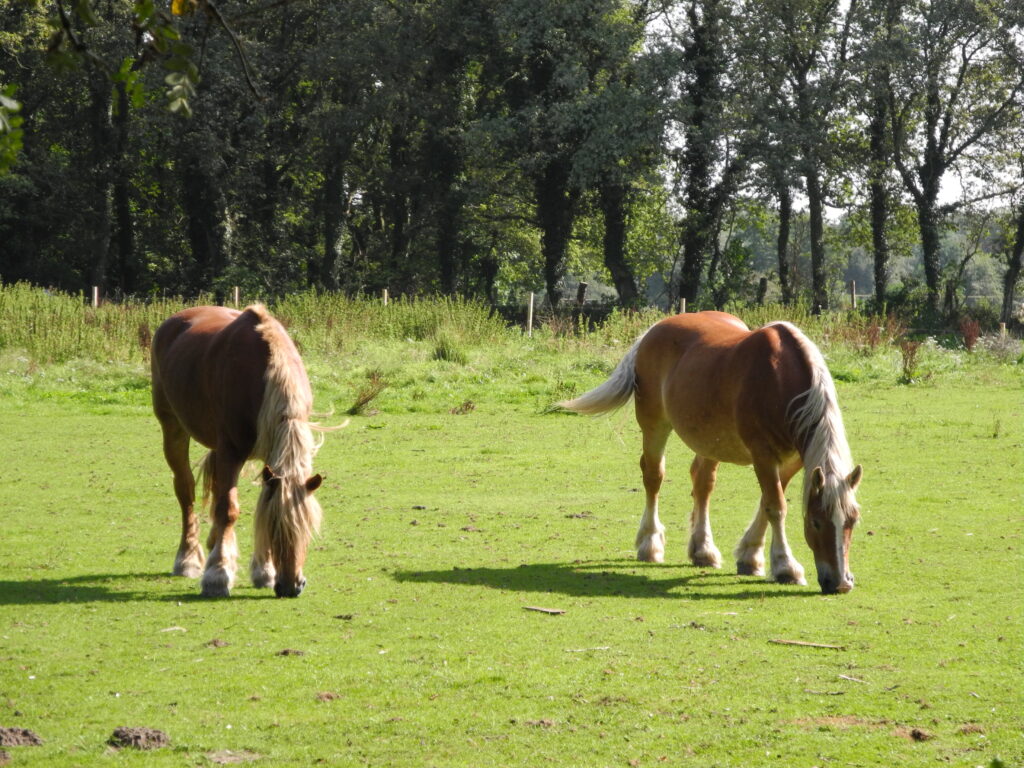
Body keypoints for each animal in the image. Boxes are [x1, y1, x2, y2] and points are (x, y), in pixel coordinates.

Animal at [151, 304, 325, 598]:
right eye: (275, 528)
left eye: (307, 528)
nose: (291, 586)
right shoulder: (230, 452)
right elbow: (228, 509)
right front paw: (217, 575)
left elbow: (256, 502)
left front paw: (263, 571)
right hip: (173, 428)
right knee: (186, 491)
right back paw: (187, 559)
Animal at [560, 311, 862, 595]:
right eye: (816, 522)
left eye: (852, 521)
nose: (840, 583)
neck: (780, 381)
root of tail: (655, 329)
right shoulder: (763, 456)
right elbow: (776, 507)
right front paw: (786, 567)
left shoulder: (793, 460)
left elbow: (766, 503)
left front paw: (750, 556)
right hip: (654, 424)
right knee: (653, 477)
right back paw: (650, 544)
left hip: (709, 441)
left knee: (702, 484)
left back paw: (703, 550)